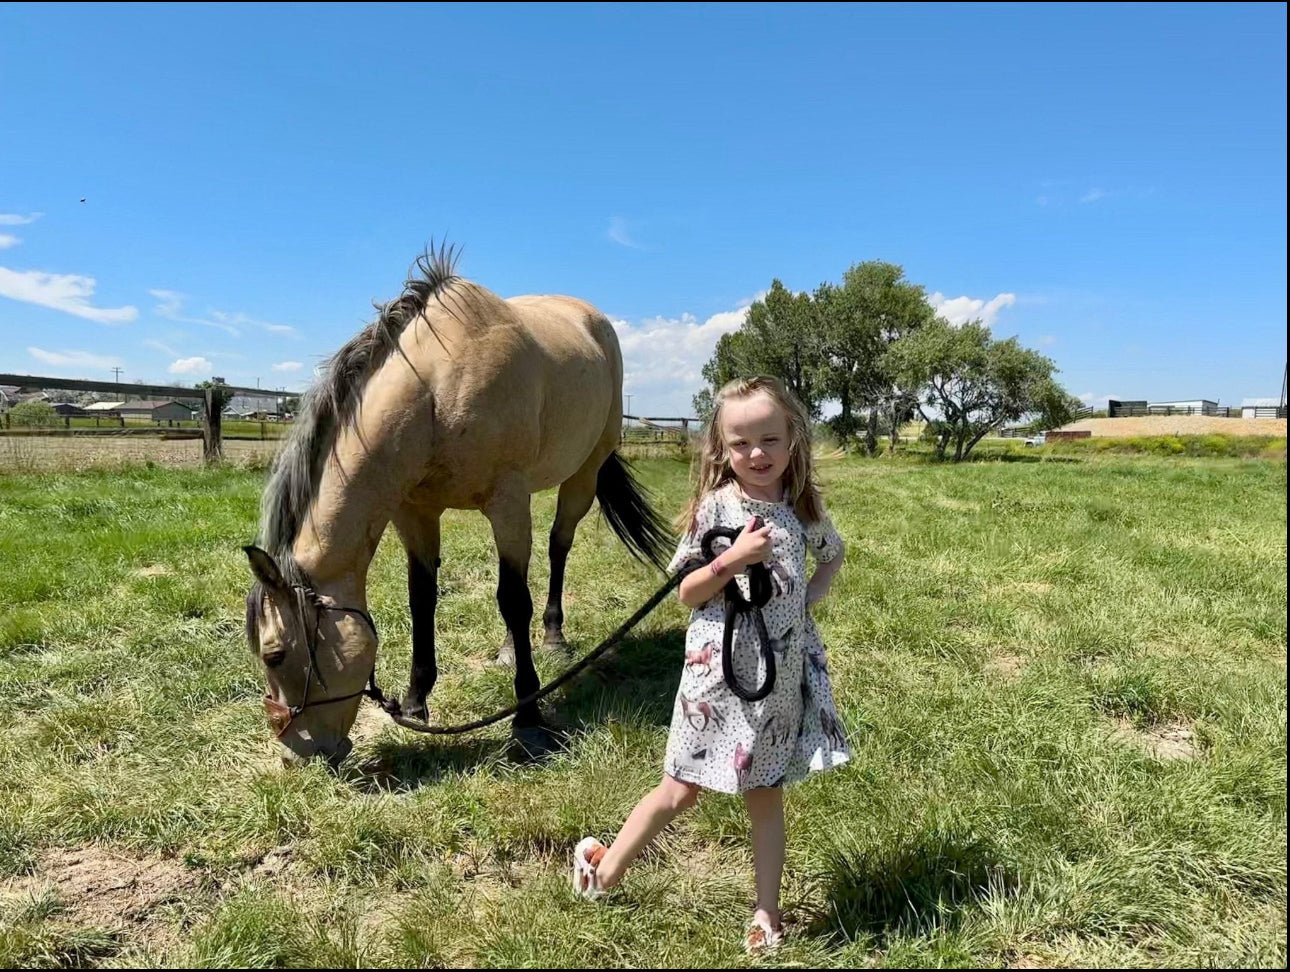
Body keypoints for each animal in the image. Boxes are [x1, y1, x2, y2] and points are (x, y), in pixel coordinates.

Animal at [242, 246, 670, 764]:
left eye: (275, 655)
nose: (296, 755)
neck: (436, 390)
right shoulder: (416, 514)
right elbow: (423, 598)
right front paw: (415, 700)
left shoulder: (507, 503)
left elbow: (513, 600)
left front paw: (528, 717)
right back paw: (510, 650)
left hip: (583, 475)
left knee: (557, 549)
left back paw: (552, 637)